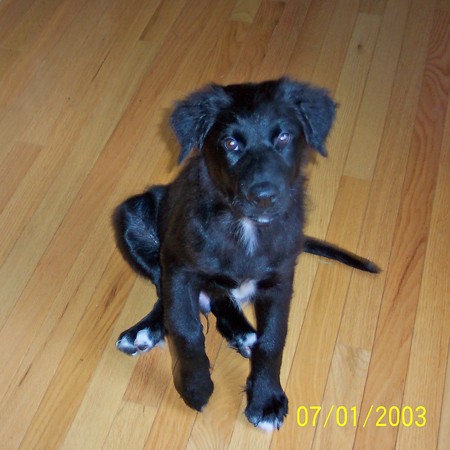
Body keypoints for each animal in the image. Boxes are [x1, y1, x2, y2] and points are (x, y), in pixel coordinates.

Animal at [114, 78, 378, 432]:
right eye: (230, 143)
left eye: (283, 137)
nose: (263, 196)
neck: (246, 228)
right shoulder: (180, 269)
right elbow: (185, 328)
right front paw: (195, 388)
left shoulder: (280, 281)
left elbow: (273, 340)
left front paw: (266, 400)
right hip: (134, 215)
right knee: (167, 295)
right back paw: (145, 331)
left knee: (221, 301)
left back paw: (242, 333)